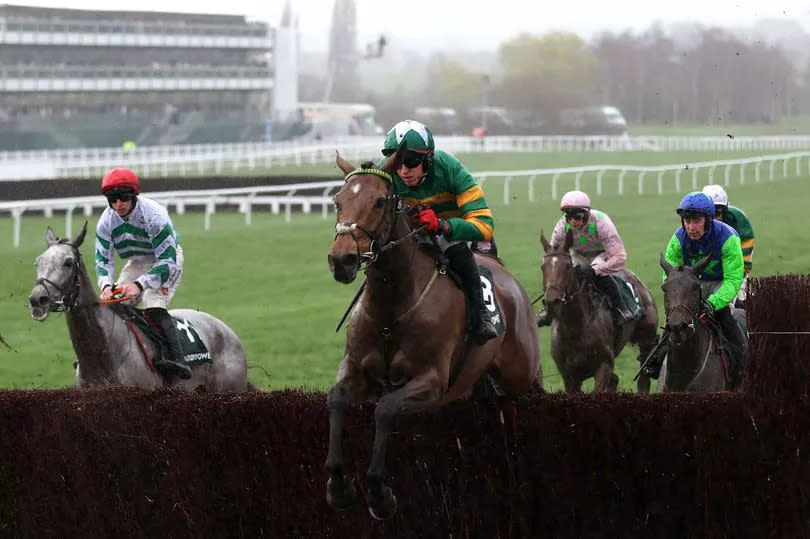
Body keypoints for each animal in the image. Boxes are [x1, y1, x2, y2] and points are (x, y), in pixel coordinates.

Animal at [326, 147, 540, 520]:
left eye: (379, 201)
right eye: (338, 200)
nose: (342, 260)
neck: (391, 309)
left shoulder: (431, 382)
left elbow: (385, 410)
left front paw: (380, 494)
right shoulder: (355, 370)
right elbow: (337, 399)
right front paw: (339, 486)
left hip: (520, 376)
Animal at [536, 230, 656, 394]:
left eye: (568, 266)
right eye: (543, 267)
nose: (552, 300)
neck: (574, 328)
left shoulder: (604, 365)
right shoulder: (569, 375)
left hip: (647, 338)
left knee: (644, 376)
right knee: (615, 380)